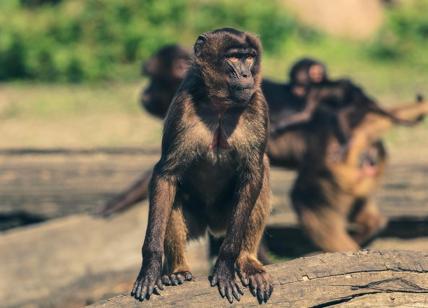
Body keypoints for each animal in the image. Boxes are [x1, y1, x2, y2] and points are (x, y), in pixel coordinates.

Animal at [130, 28, 276, 304]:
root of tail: (213, 225)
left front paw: (226, 264)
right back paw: (177, 270)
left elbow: (253, 174)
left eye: (249, 57)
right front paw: (151, 267)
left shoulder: (258, 104)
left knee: (261, 172)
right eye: (234, 57)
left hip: (225, 216)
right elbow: (165, 176)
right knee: (172, 195)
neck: (220, 105)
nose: (247, 75)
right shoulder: (182, 105)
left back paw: (248, 261)